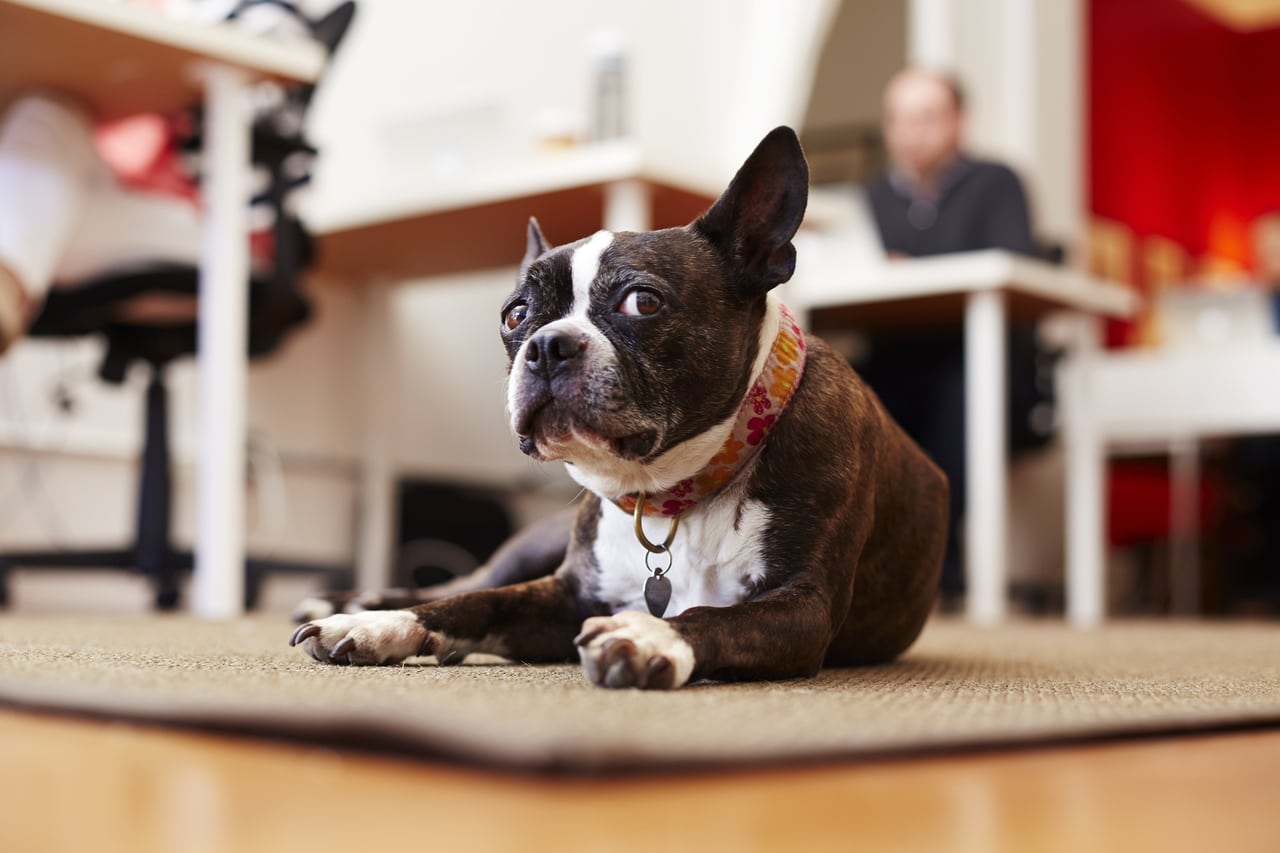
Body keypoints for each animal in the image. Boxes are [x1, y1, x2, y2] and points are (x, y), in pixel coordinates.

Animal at [293, 124, 952, 686]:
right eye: (515, 315)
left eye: (643, 302)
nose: (547, 346)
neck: (670, 496)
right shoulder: (566, 593)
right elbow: (472, 603)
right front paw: (380, 627)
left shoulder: (803, 607)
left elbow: (711, 616)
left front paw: (649, 635)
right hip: (532, 547)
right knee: (465, 580)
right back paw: (355, 600)